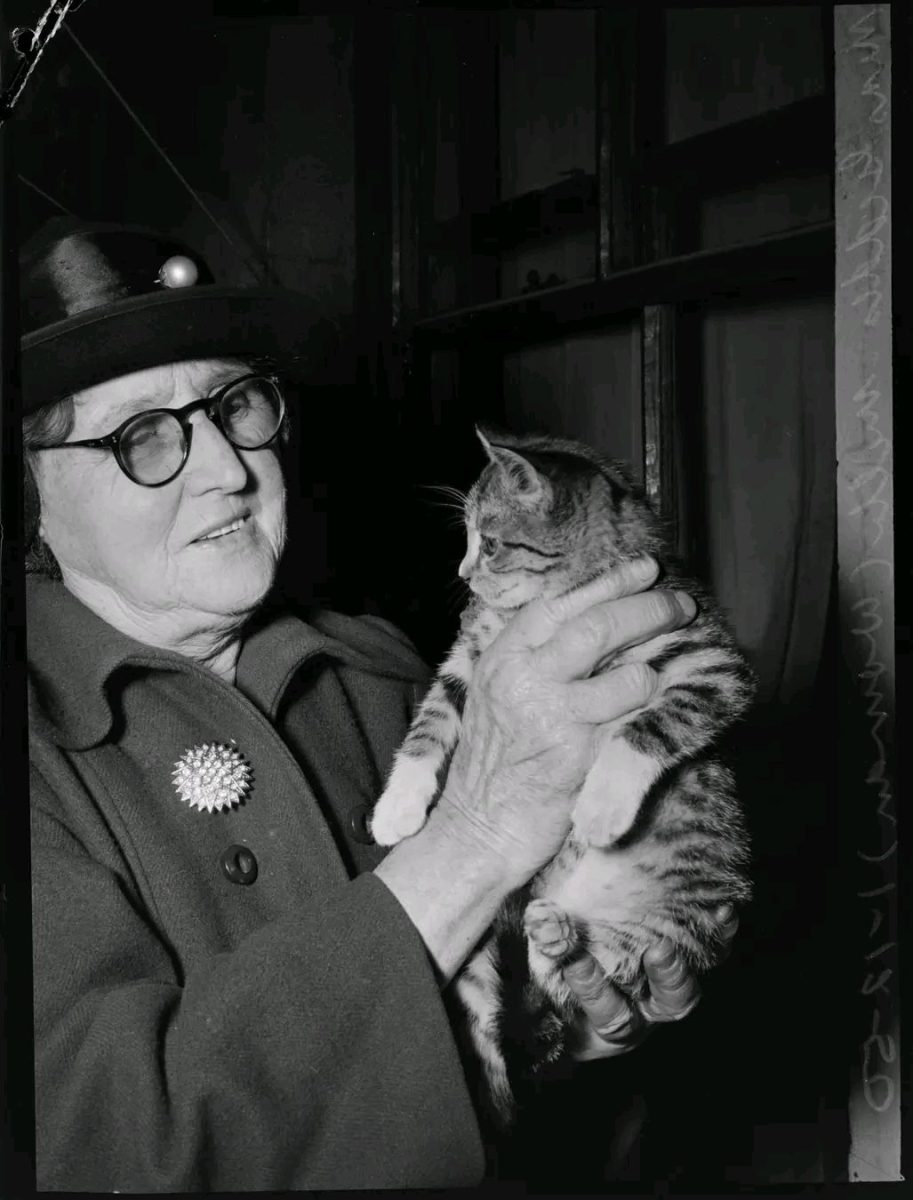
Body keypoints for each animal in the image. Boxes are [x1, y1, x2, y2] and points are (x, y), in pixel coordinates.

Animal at [367, 427, 753, 1118]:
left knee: (605, 966)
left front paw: (601, 809)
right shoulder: (474, 656)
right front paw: (399, 805)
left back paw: (558, 946)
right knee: (496, 1027)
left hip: (677, 918)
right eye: (468, 540)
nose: (463, 574)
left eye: (490, 543)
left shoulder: (712, 664)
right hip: (484, 946)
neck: (560, 597)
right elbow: (433, 714)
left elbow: (649, 724)